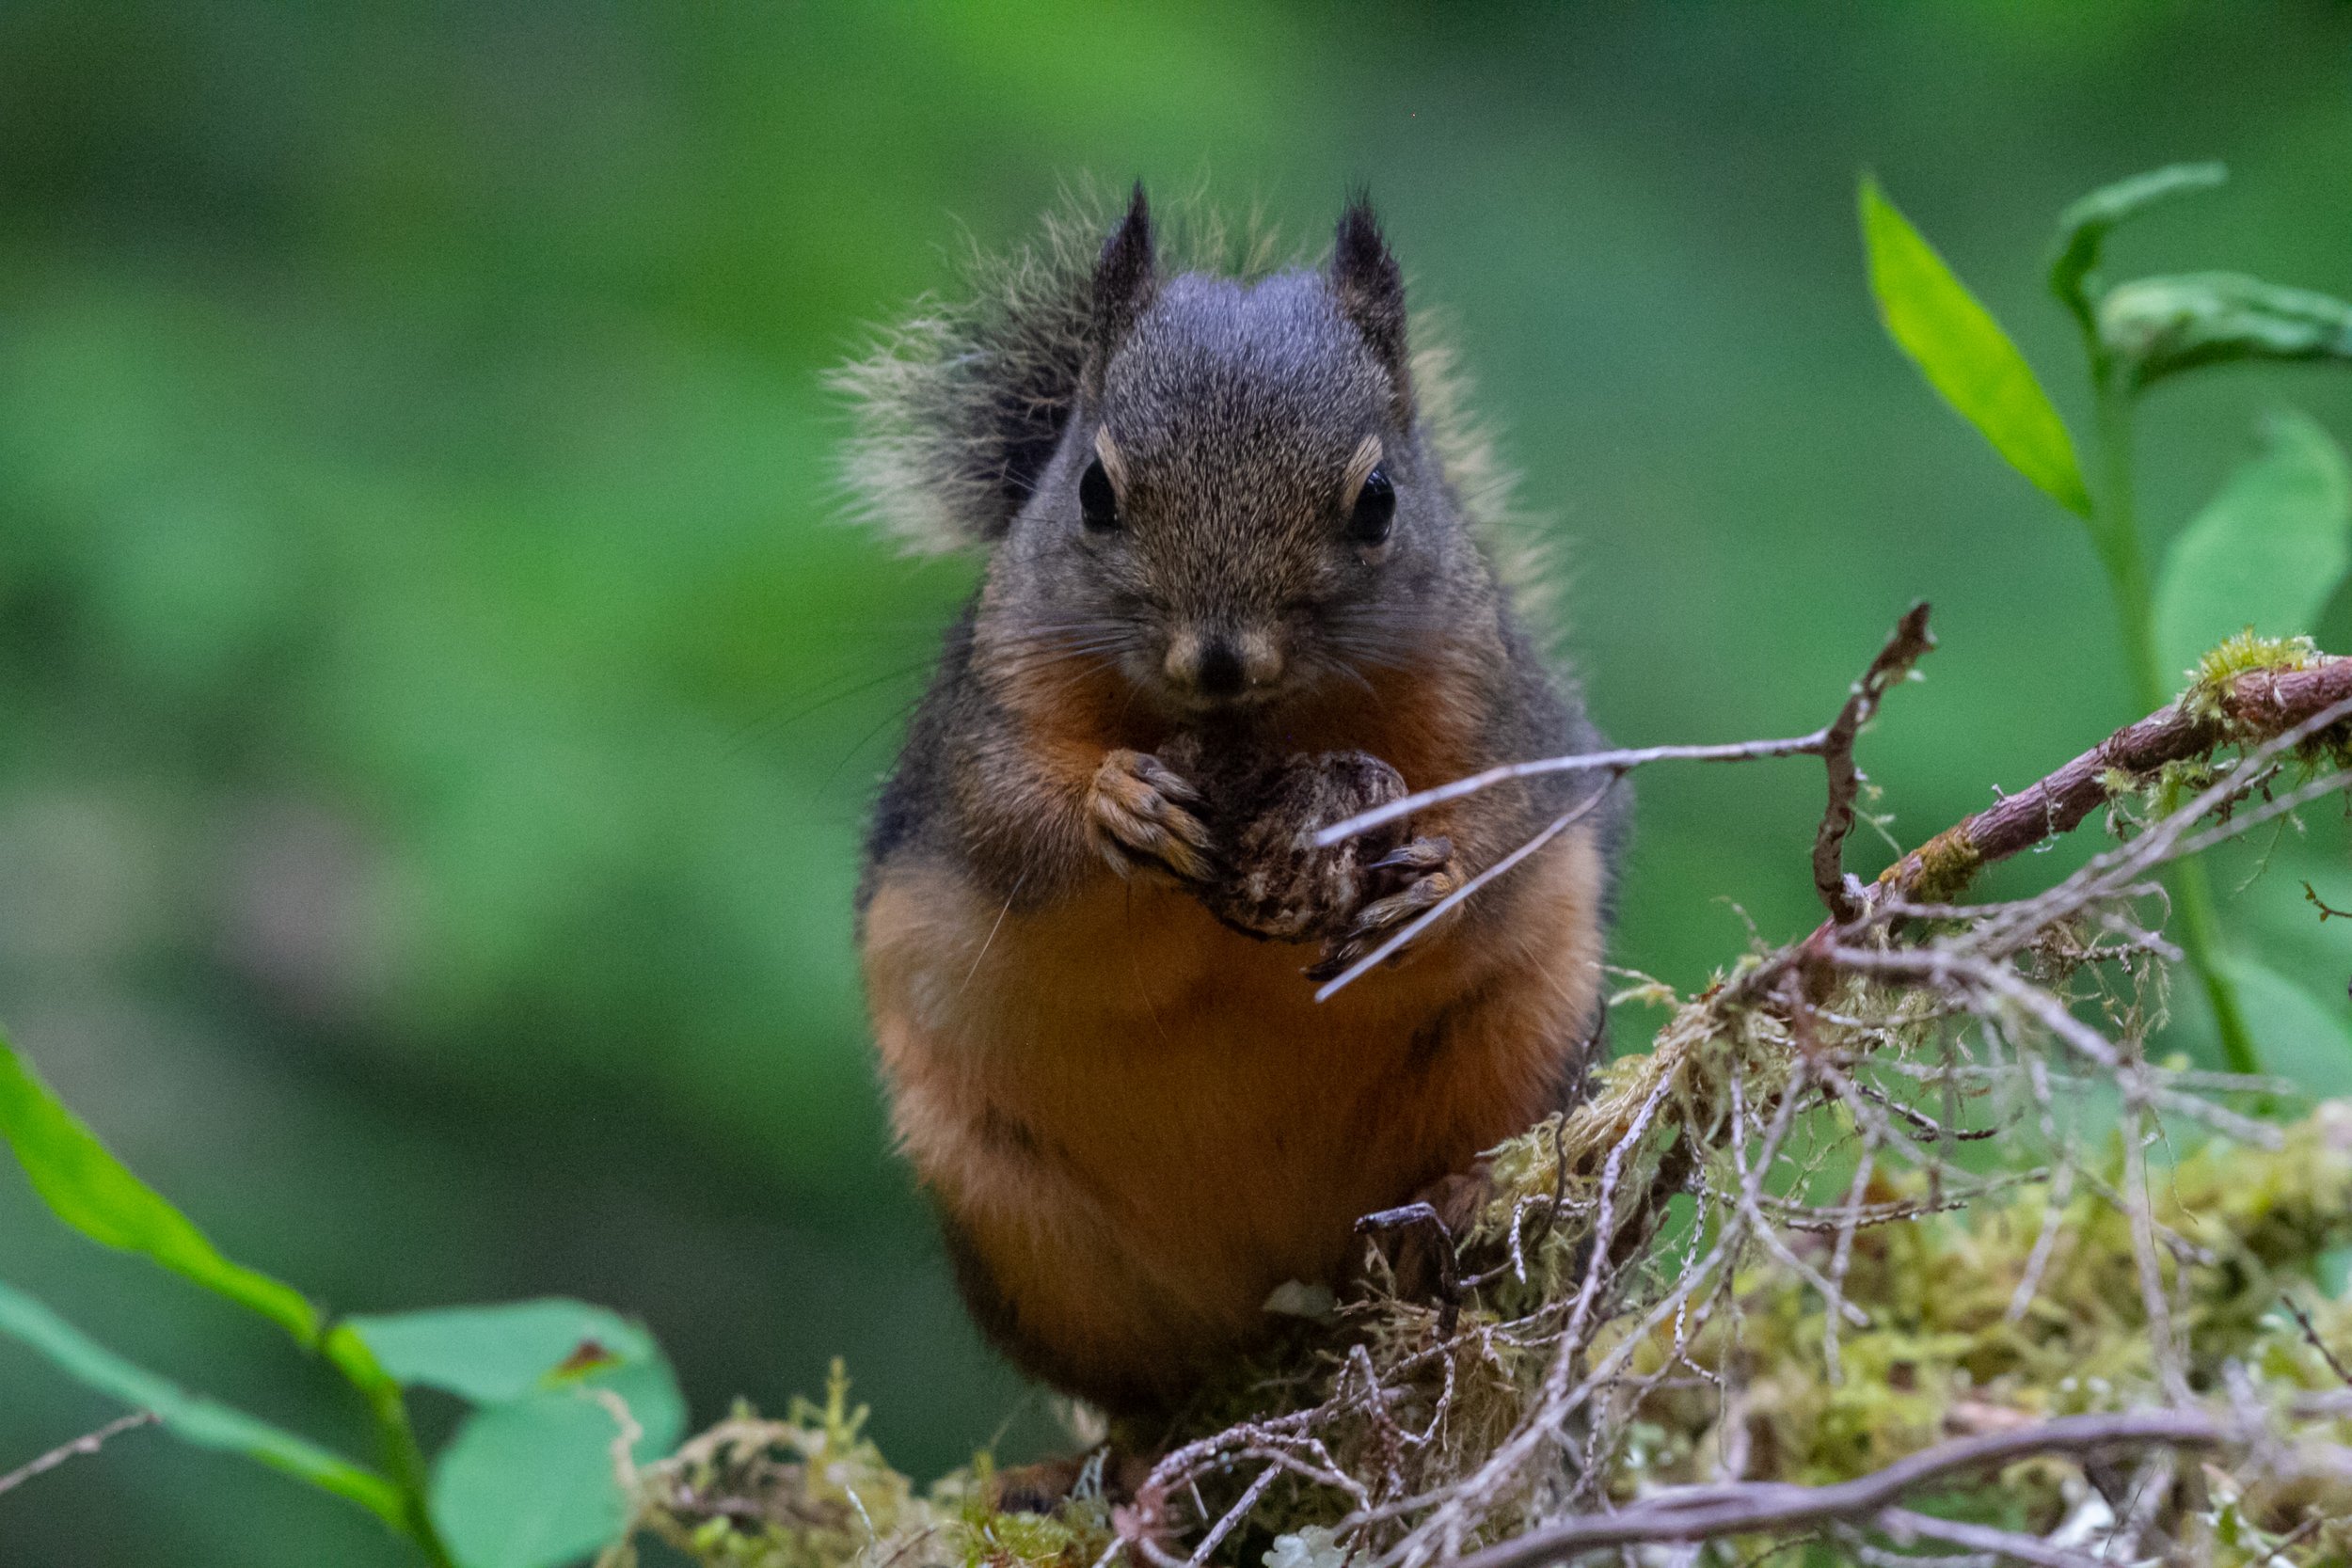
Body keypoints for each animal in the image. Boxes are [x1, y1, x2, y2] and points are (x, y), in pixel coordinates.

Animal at [843, 187, 1623, 1420]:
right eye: (1093, 490)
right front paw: (1116, 806)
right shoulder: (985, 715)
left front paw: (1432, 884)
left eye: (1377, 499)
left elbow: (1514, 826)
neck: (1255, 734)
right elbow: (1007, 822)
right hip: (1018, 1222)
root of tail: (1284, 1295)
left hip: (1526, 1054)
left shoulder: (1500, 706)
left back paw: (1448, 1222)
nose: (1218, 658)